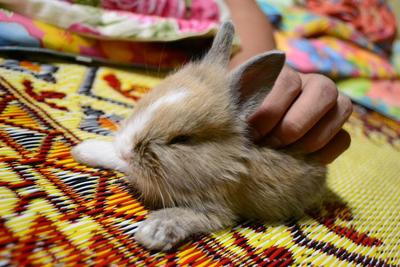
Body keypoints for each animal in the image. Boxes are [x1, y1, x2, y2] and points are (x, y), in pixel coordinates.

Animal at [72, 22, 324, 252]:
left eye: (182, 139)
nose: (126, 150)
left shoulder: (217, 208)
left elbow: (185, 216)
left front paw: (152, 233)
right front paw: (84, 150)